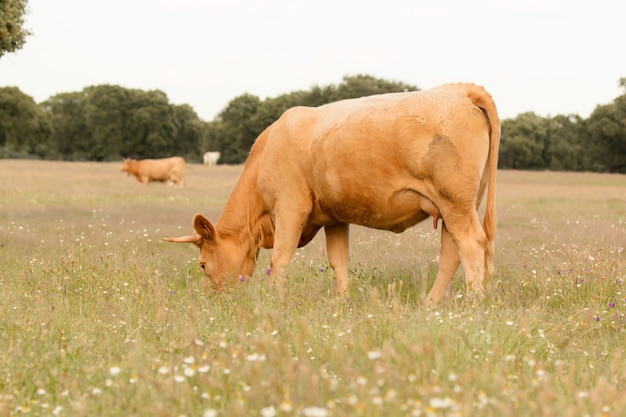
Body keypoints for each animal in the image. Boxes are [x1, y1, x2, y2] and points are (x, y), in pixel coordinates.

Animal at [163, 82, 500, 302]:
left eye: (202, 265)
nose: (216, 300)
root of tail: (462, 90)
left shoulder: (290, 206)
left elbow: (280, 259)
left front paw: (276, 301)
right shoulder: (335, 217)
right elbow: (339, 261)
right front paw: (342, 302)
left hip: (455, 202)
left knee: (471, 245)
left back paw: (473, 304)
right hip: (456, 205)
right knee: (452, 254)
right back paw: (431, 304)